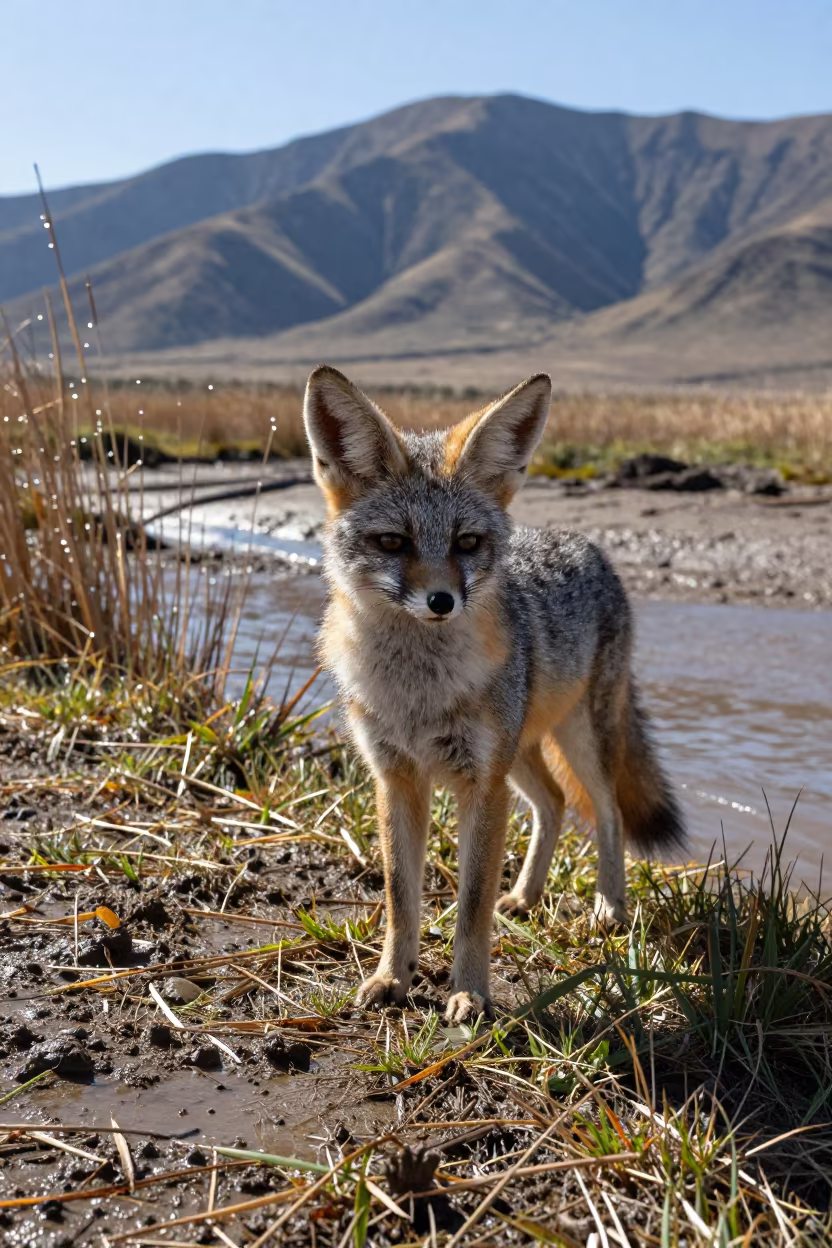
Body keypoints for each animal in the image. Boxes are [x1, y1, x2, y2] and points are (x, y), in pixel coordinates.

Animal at [303, 365, 685, 1024]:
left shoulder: (481, 784)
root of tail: (587, 544)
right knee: (553, 804)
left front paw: (471, 993)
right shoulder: (396, 778)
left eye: (468, 543)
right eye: (394, 543)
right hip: (522, 754)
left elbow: (470, 903)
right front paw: (391, 978)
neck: (419, 692)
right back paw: (526, 898)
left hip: (575, 742)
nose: (441, 601)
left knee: (606, 811)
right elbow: (401, 897)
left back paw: (610, 908)